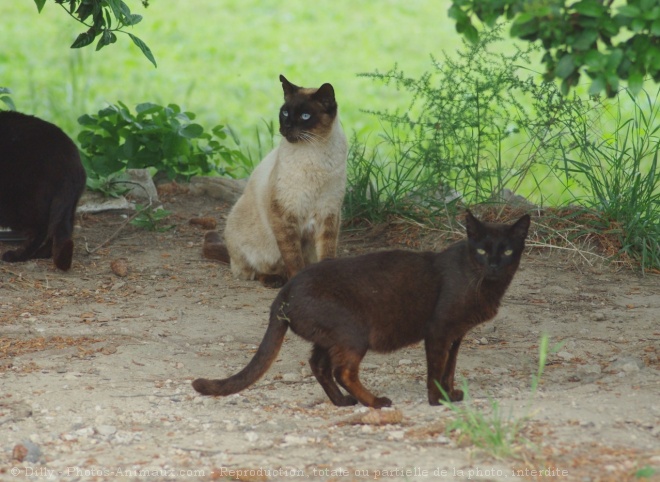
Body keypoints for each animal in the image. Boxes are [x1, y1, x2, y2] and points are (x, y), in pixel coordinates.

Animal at [0, 111, 86, 274]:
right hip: (66, 207)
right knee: (60, 230)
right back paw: (42, 253)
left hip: (21, 205)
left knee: (40, 231)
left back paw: (18, 255)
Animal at [192, 211, 532, 406]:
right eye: (482, 250)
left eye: (507, 251)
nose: (494, 264)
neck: (481, 281)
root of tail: (285, 290)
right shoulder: (439, 332)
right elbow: (437, 369)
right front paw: (438, 401)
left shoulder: (456, 336)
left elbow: (450, 368)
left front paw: (451, 395)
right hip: (353, 332)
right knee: (342, 370)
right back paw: (375, 402)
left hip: (329, 336)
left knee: (318, 365)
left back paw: (342, 403)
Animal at [204, 75, 348, 286]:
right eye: (285, 112)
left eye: (305, 116)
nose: (286, 126)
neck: (314, 153)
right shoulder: (284, 214)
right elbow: (293, 258)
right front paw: (298, 281)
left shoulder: (328, 213)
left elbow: (327, 254)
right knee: (255, 271)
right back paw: (274, 281)